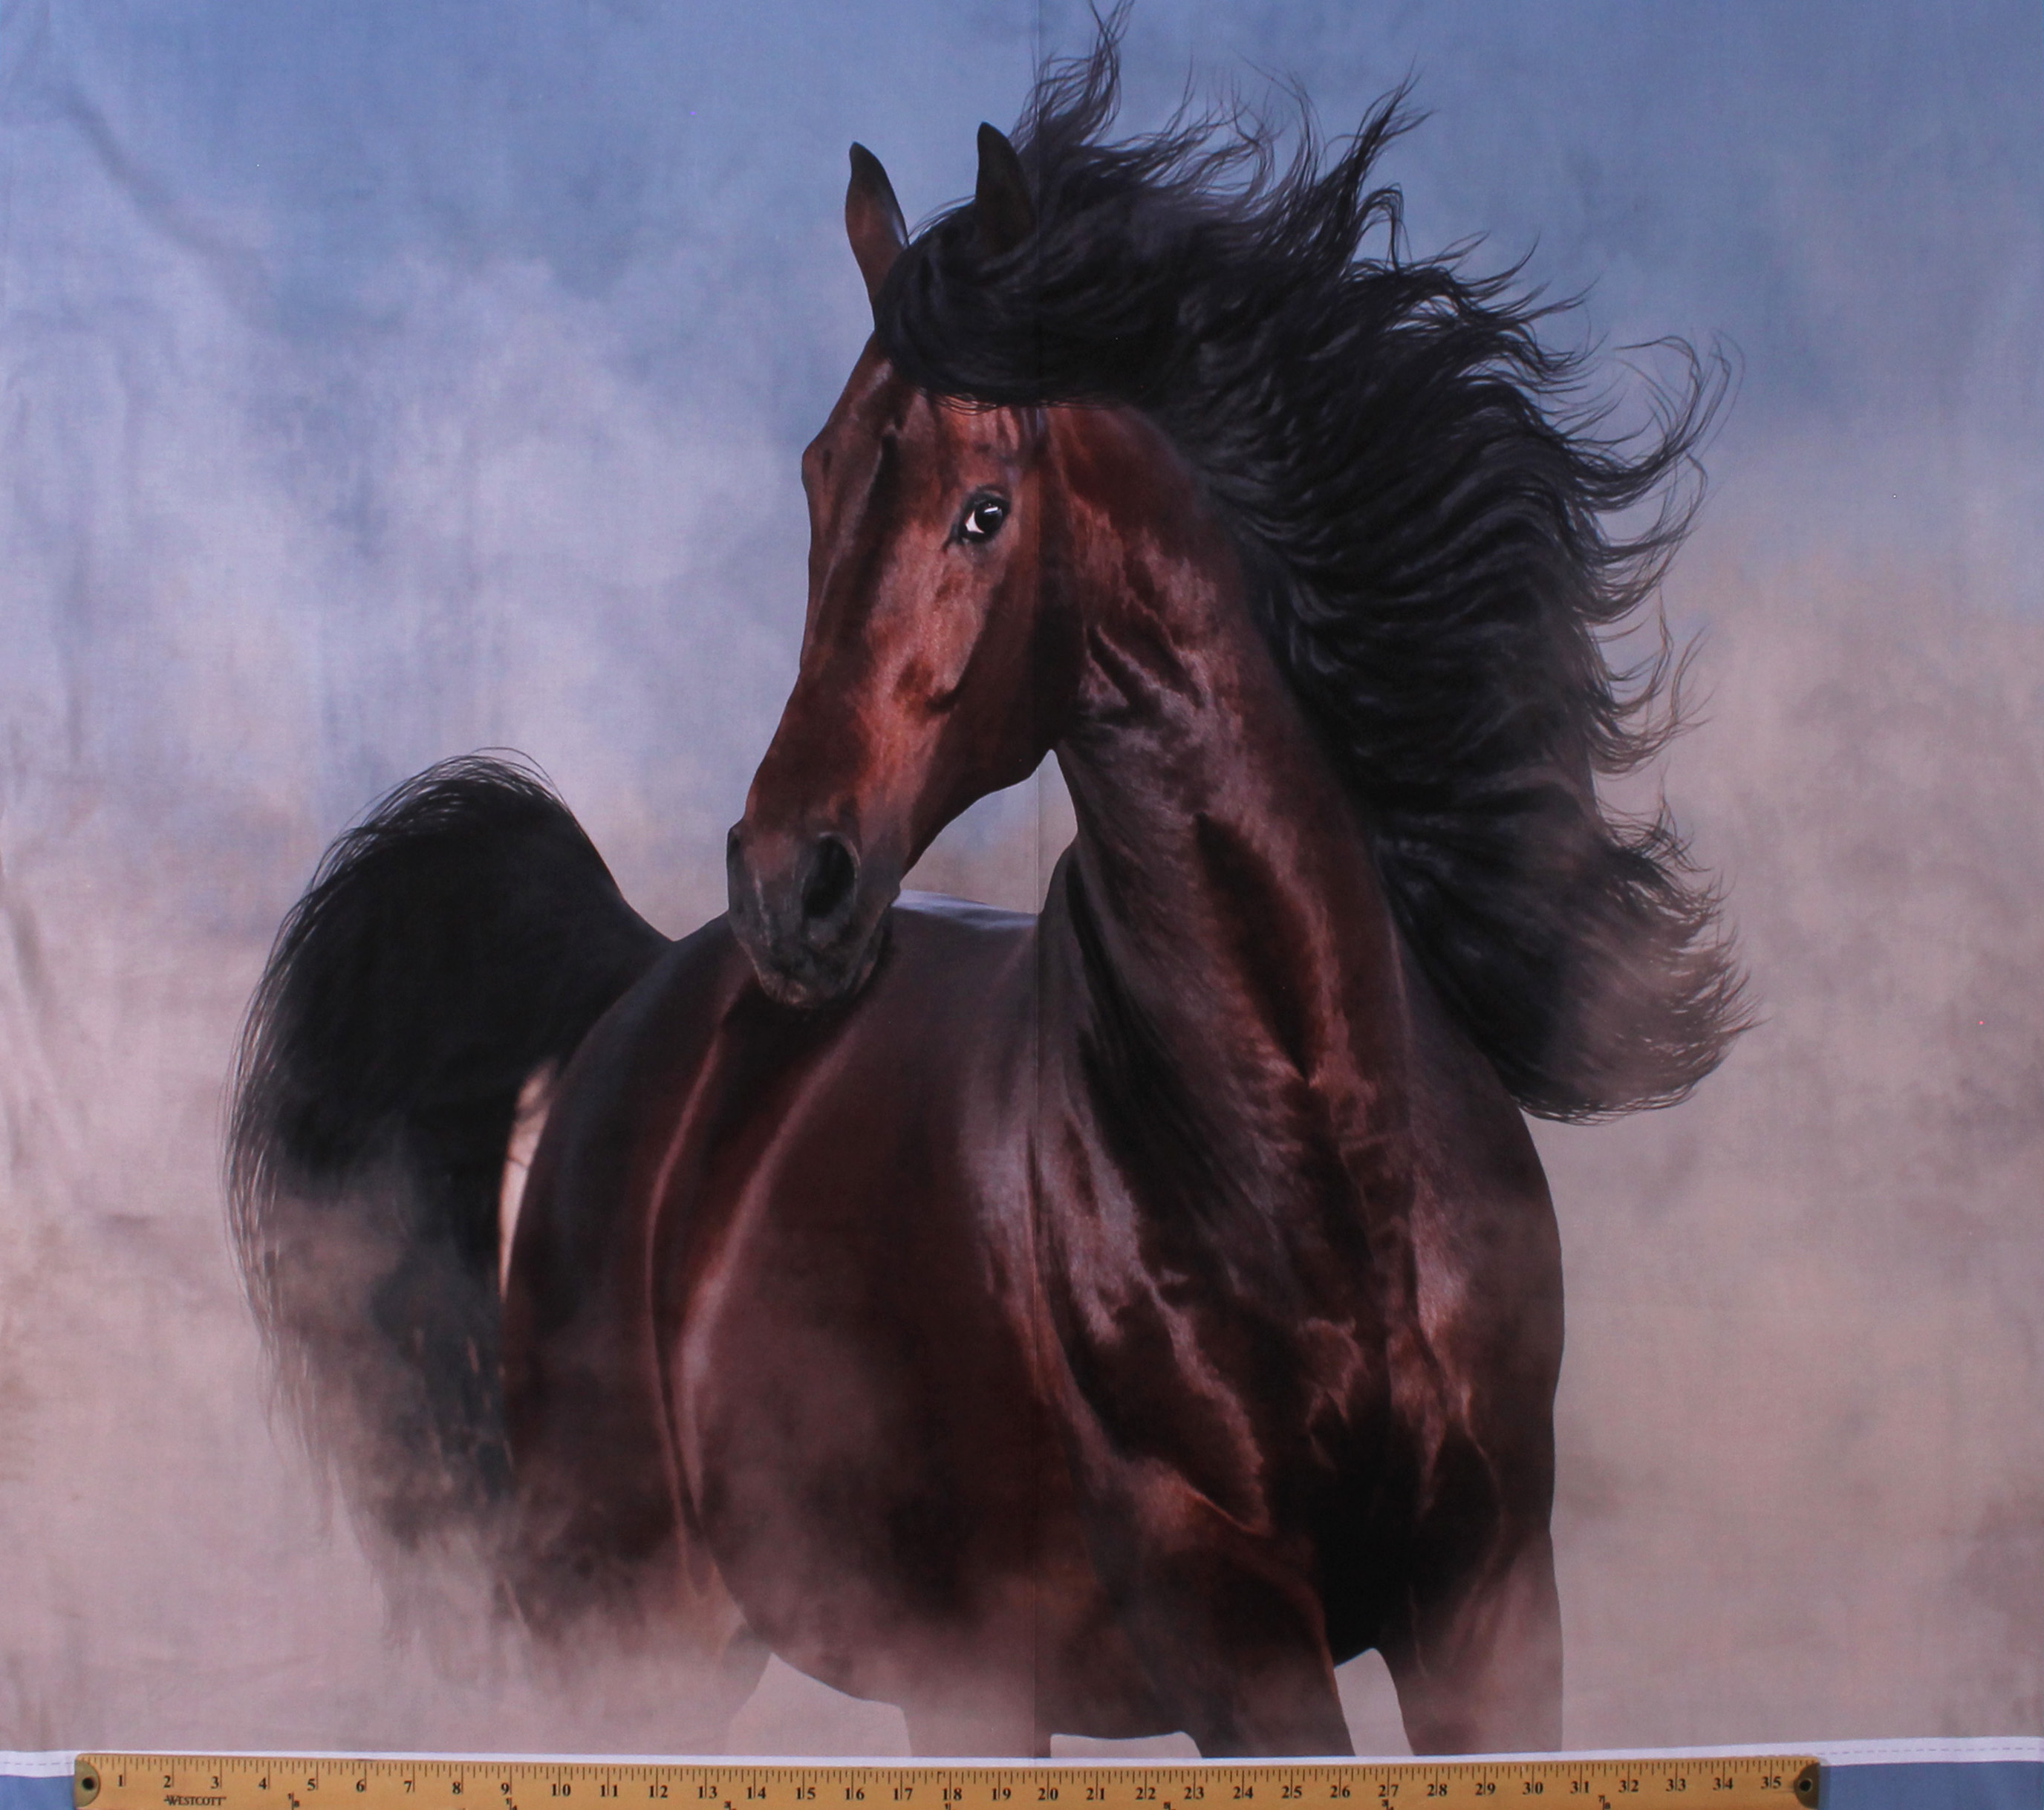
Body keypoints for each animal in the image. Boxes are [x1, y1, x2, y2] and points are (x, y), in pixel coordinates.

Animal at [230, 41, 1743, 1760]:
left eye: (982, 509)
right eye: (818, 476)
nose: (790, 883)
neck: (1311, 1155)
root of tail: (642, 987)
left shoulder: (1490, 1600)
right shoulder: (1233, 1632)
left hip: (951, 1673)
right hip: (632, 1637)